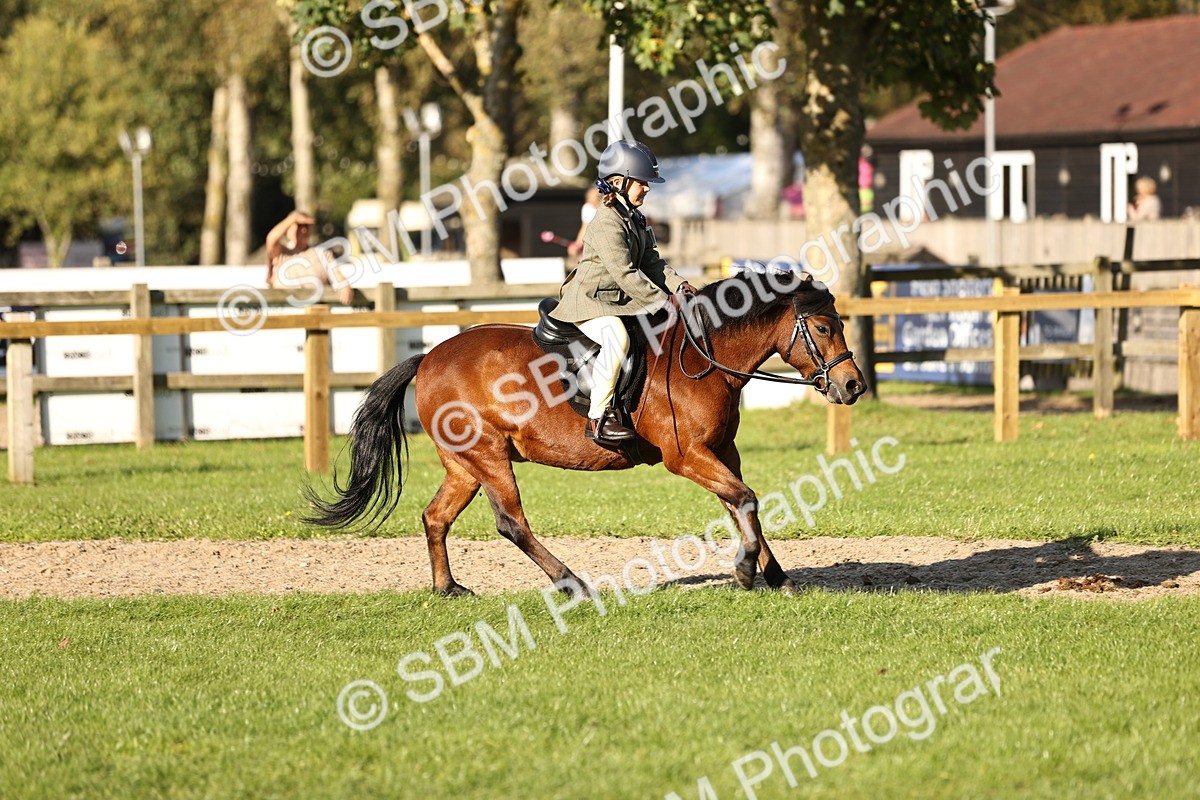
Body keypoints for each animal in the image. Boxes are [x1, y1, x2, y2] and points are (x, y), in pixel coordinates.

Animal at [306, 270, 867, 595]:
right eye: (822, 328)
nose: (853, 385)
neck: (703, 354)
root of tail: (428, 357)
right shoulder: (687, 457)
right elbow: (745, 500)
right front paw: (749, 571)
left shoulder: (721, 451)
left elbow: (741, 506)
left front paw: (774, 575)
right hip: (489, 456)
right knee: (511, 524)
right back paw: (571, 583)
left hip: (464, 465)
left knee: (435, 517)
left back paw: (448, 588)